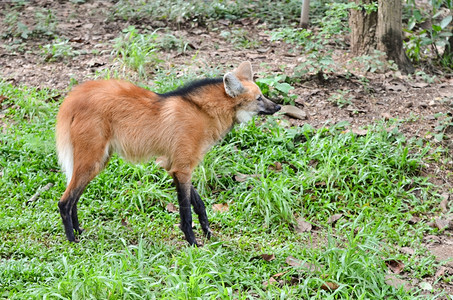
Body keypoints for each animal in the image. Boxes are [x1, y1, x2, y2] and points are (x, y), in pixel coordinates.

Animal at [55, 61, 278, 246]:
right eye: (259, 98)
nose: (278, 106)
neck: (202, 112)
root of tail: (73, 96)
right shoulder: (182, 168)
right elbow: (186, 211)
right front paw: (193, 242)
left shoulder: (174, 165)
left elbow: (199, 204)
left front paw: (208, 233)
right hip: (92, 160)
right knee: (64, 201)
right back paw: (72, 241)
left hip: (98, 161)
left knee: (74, 198)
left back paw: (79, 231)